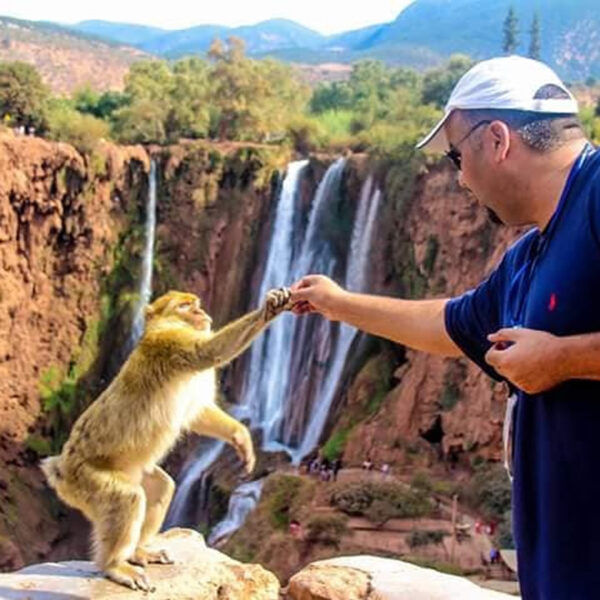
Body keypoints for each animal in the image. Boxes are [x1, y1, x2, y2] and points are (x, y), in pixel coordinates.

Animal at [41, 288, 294, 592]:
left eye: (196, 304)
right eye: (186, 306)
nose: (201, 312)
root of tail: (60, 467)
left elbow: (197, 413)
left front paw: (240, 437)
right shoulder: (169, 341)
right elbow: (208, 352)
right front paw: (269, 309)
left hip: (131, 472)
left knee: (162, 487)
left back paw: (138, 551)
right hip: (86, 481)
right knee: (128, 499)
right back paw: (115, 566)